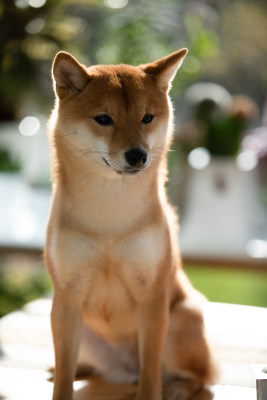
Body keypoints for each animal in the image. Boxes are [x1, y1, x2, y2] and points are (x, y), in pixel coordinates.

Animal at [46, 50, 218, 400]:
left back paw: (179, 387)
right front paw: (63, 377)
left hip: (181, 319)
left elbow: (151, 373)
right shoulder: (68, 296)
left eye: (147, 118)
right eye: (103, 119)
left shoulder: (151, 296)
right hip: (75, 327)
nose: (137, 155)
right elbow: (64, 380)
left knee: (202, 376)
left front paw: (153, 393)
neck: (110, 215)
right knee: (80, 364)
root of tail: (126, 373)